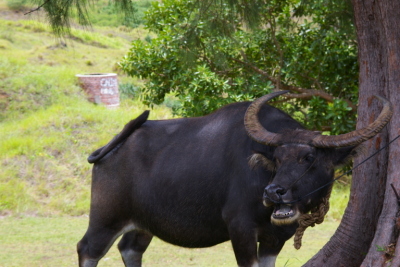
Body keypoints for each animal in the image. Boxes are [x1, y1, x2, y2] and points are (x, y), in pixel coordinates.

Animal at [76, 91, 392, 266]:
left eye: (309, 158)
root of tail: (111, 147)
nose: (274, 192)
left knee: (130, 249)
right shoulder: (240, 230)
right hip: (105, 217)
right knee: (87, 250)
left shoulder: (275, 239)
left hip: (142, 224)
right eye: (278, 159)